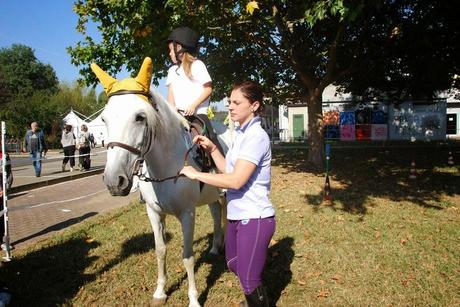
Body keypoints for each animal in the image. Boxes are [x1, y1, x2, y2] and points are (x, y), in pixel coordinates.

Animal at [91, 58, 232, 307]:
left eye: (140, 117)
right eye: (104, 119)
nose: (114, 181)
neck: (168, 165)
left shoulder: (187, 214)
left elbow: (188, 257)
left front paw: (193, 299)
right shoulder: (154, 213)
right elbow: (160, 250)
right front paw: (160, 292)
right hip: (211, 196)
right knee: (216, 214)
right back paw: (215, 248)